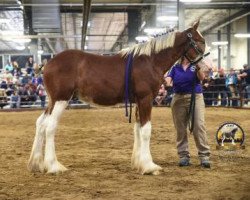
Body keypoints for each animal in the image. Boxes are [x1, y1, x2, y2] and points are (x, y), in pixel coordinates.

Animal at [28, 19, 206, 174]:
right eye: (200, 41)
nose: (204, 70)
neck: (150, 61)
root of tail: (48, 63)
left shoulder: (138, 102)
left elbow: (138, 129)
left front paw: (139, 163)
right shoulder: (146, 99)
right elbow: (146, 130)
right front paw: (150, 166)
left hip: (52, 101)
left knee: (40, 124)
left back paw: (37, 164)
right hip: (61, 99)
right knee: (50, 126)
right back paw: (54, 166)